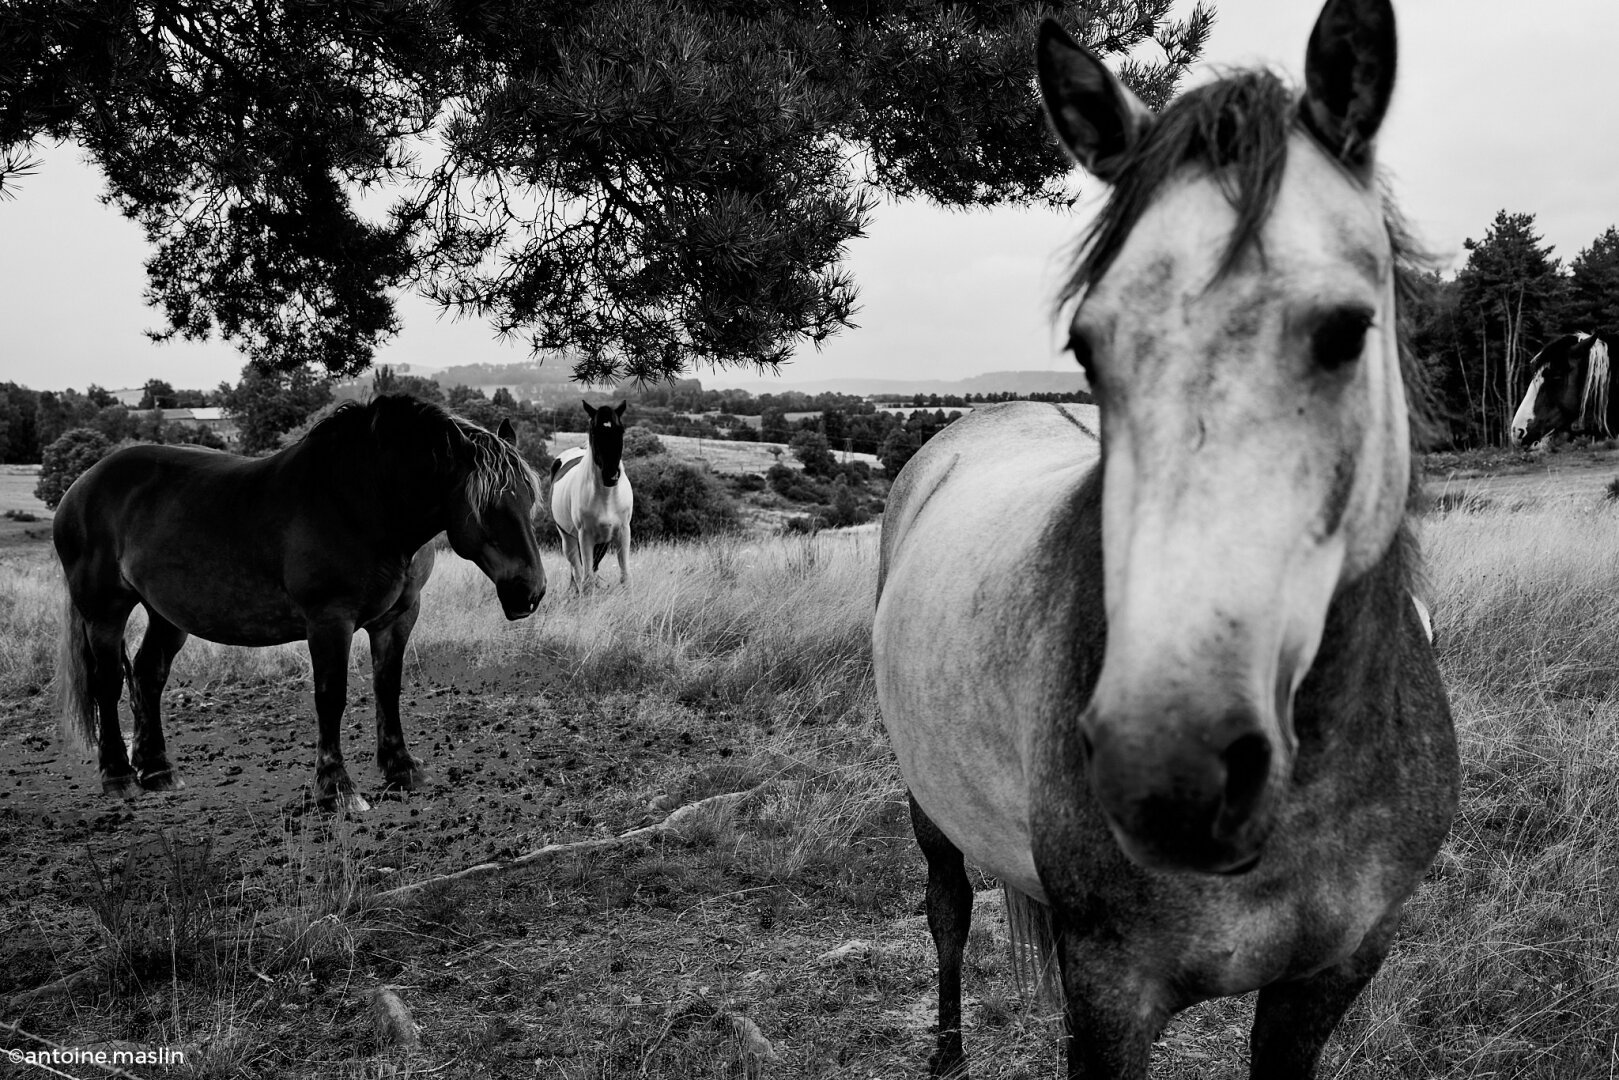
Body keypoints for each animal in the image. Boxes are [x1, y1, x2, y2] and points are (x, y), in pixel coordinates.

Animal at [52, 395, 543, 809]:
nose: (531, 592)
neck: (363, 503)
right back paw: (117, 775)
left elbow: (388, 688)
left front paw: (402, 769)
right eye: (487, 506)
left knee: (148, 675)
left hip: (166, 615)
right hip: (104, 611)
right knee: (108, 682)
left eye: (529, 500)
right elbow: (331, 697)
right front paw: (337, 788)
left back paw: (157, 770)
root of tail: (80, 486)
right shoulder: (329, 621)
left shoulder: (398, 618)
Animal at [553, 401, 634, 595]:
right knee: (577, 572)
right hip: (568, 539)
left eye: (621, 430)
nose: (611, 476)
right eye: (594, 431)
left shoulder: (622, 532)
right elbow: (587, 579)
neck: (606, 497)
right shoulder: (585, 537)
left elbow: (625, 577)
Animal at [880, 2, 1463, 1080]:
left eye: (1346, 330)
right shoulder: (1113, 995)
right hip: (925, 805)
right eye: (1087, 346)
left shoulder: (1330, 975)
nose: (1168, 776)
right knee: (945, 912)